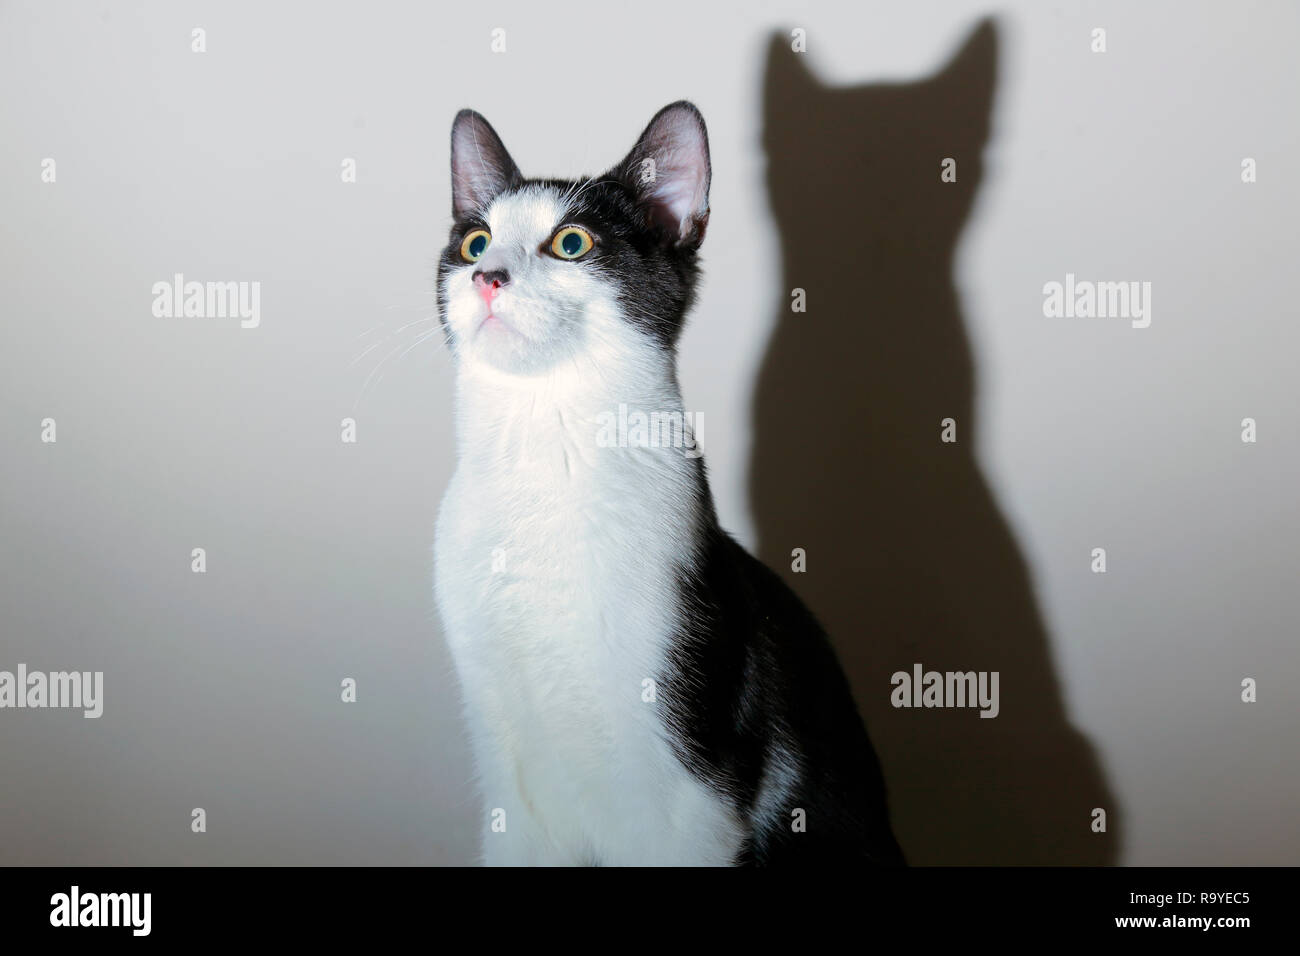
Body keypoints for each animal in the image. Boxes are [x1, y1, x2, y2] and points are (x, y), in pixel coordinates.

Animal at [436, 102, 904, 868]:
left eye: (571, 242)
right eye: (475, 241)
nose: (488, 276)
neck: (542, 456)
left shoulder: (693, 801)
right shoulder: (512, 794)